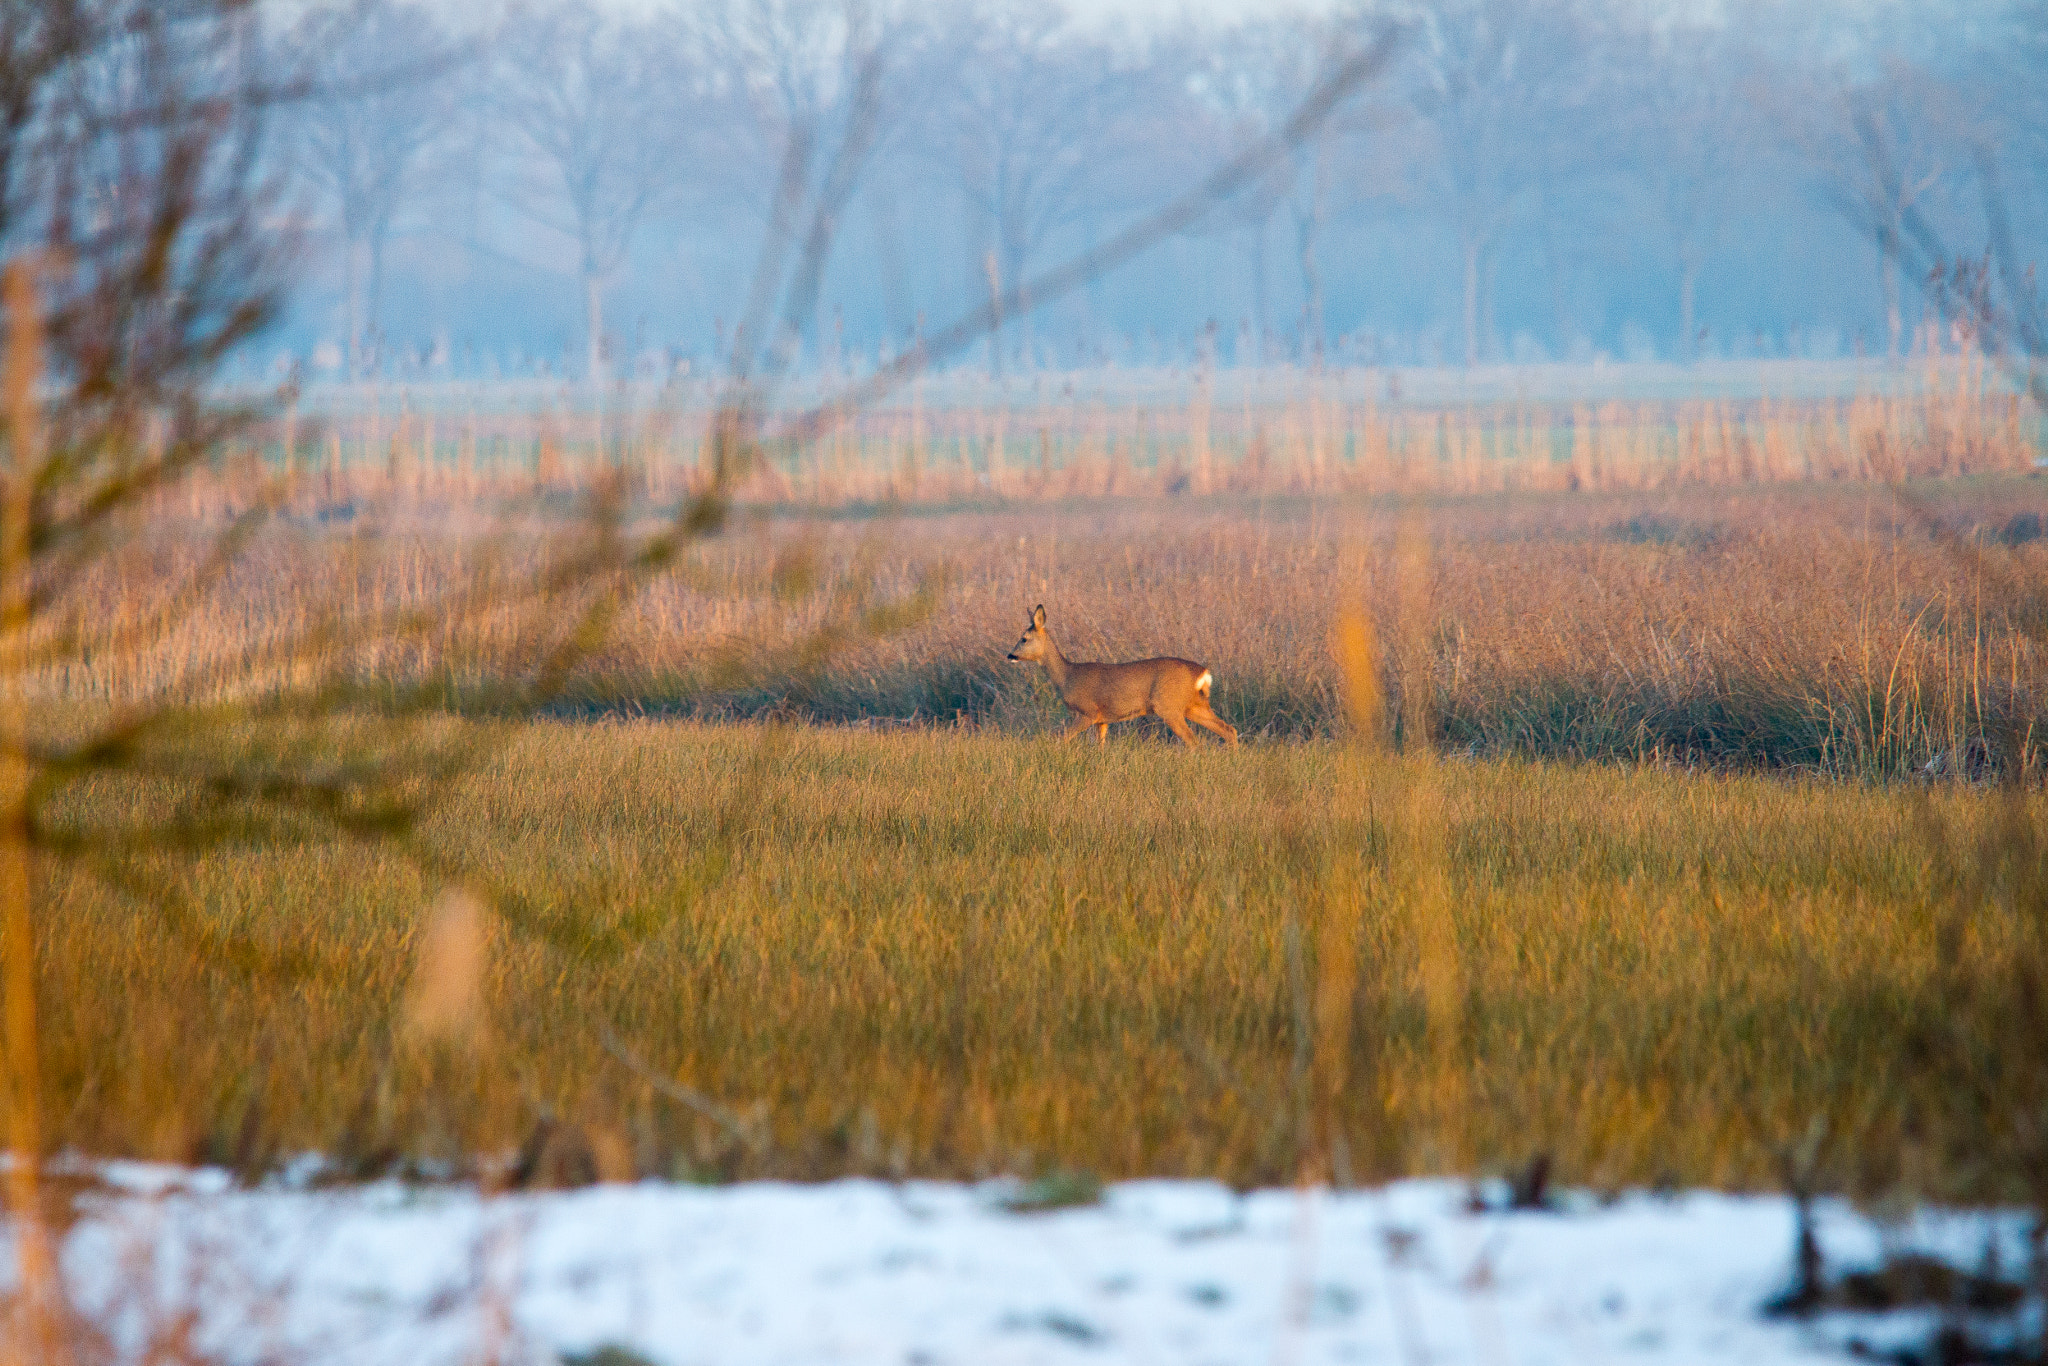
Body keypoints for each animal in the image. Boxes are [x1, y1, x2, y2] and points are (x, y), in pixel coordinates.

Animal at [1005, 604, 1240, 747]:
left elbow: (1061, 738)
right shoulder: (1102, 720)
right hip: (1193, 705)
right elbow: (1099, 747)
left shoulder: (1088, 712)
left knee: (1193, 740)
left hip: (1169, 706)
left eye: (1024, 638)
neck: (1067, 676)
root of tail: (1202, 673)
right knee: (1229, 729)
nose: (1010, 655)